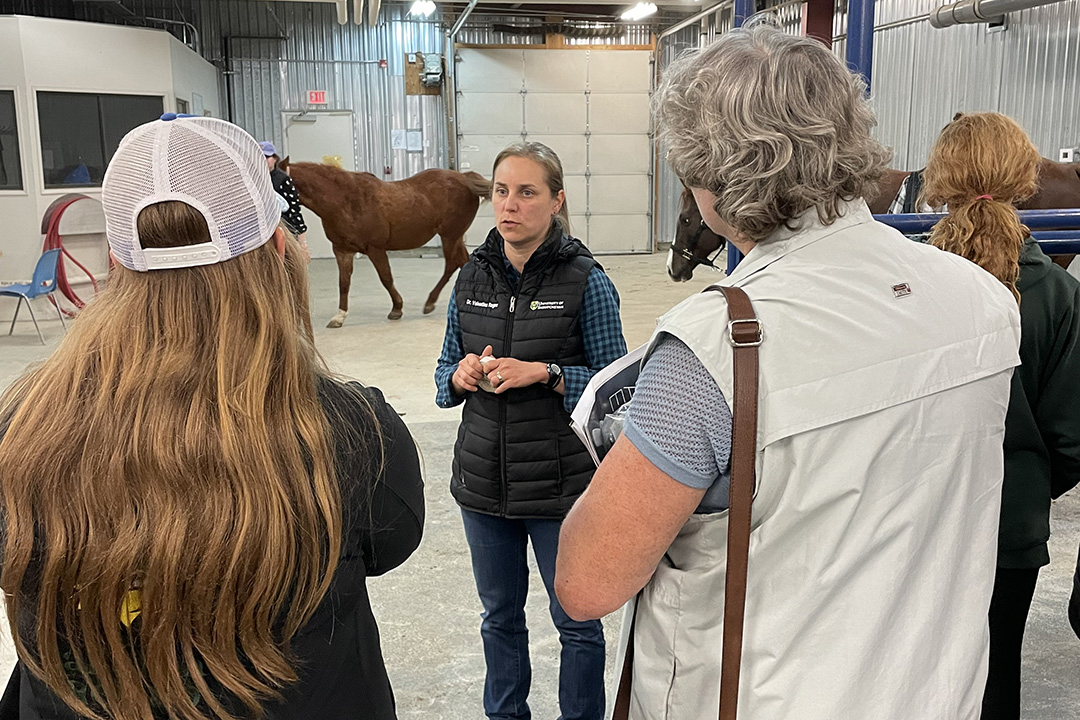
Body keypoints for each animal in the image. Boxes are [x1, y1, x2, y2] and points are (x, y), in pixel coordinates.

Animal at [282, 160, 494, 325]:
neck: (345, 201)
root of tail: (465, 178)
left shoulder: (375, 249)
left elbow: (386, 278)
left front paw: (396, 309)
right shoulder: (342, 250)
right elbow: (344, 283)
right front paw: (339, 317)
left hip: (450, 236)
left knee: (451, 264)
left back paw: (429, 303)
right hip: (454, 237)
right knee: (463, 263)